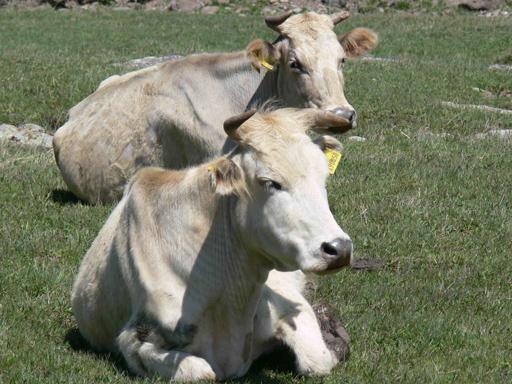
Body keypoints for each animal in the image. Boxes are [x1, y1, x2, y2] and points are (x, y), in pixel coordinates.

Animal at [71, 106, 352, 380]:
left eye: (323, 178)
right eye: (270, 182)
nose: (339, 249)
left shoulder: (285, 305)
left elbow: (317, 361)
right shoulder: (135, 340)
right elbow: (204, 372)